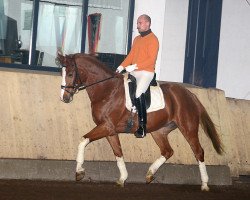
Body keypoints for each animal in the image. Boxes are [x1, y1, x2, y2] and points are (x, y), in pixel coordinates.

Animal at [58, 52, 223, 191]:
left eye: (71, 74)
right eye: (62, 73)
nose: (64, 98)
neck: (107, 90)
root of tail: (190, 94)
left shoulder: (106, 126)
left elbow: (83, 140)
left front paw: (79, 171)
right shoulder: (110, 130)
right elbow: (118, 153)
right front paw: (122, 178)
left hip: (188, 128)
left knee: (198, 151)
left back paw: (205, 184)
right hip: (159, 131)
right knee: (167, 151)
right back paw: (150, 174)